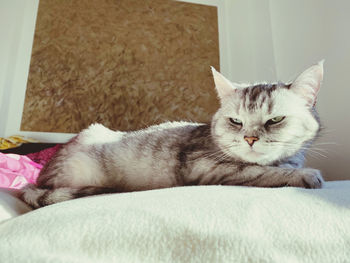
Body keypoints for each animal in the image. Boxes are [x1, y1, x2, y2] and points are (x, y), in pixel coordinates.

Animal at [21, 61, 326, 208]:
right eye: (236, 121)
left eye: (275, 120)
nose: (249, 139)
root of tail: (38, 178)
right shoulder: (206, 167)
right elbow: (262, 173)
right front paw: (306, 175)